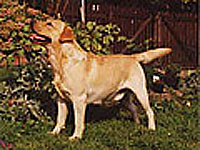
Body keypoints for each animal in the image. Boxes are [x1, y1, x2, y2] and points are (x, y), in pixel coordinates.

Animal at [32, 19, 170, 141]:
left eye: (49, 24)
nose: (32, 21)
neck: (61, 61)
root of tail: (133, 57)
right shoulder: (61, 98)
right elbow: (59, 119)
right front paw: (54, 132)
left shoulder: (79, 99)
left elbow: (78, 121)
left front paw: (76, 137)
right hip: (124, 98)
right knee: (134, 109)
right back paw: (136, 125)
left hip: (141, 92)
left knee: (150, 111)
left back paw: (151, 129)